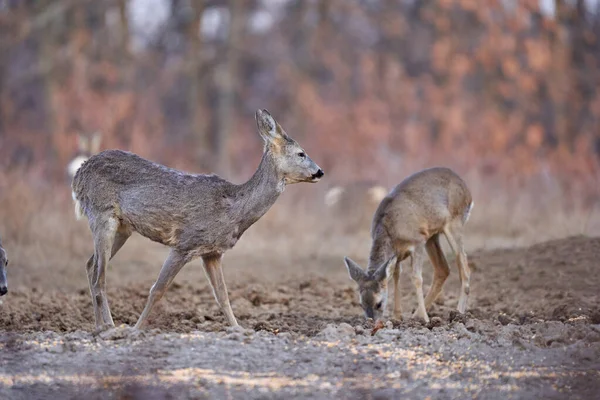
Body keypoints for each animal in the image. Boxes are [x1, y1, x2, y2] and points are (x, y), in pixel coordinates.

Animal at [73, 108, 326, 328]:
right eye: (301, 153)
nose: (320, 172)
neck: (233, 210)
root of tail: (79, 173)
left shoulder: (212, 252)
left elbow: (222, 296)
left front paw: (239, 330)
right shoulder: (185, 243)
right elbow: (157, 290)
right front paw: (136, 330)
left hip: (123, 227)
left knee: (90, 265)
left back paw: (102, 326)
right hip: (102, 214)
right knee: (99, 278)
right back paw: (109, 328)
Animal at [342, 167, 474, 324]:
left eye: (379, 303)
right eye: (361, 304)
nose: (371, 322)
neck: (390, 228)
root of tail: (467, 189)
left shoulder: (418, 242)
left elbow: (416, 278)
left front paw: (425, 319)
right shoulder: (397, 254)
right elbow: (396, 275)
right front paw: (397, 316)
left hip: (454, 222)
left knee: (464, 267)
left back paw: (458, 314)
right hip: (432, 236)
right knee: (443, 269)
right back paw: (416, 314)